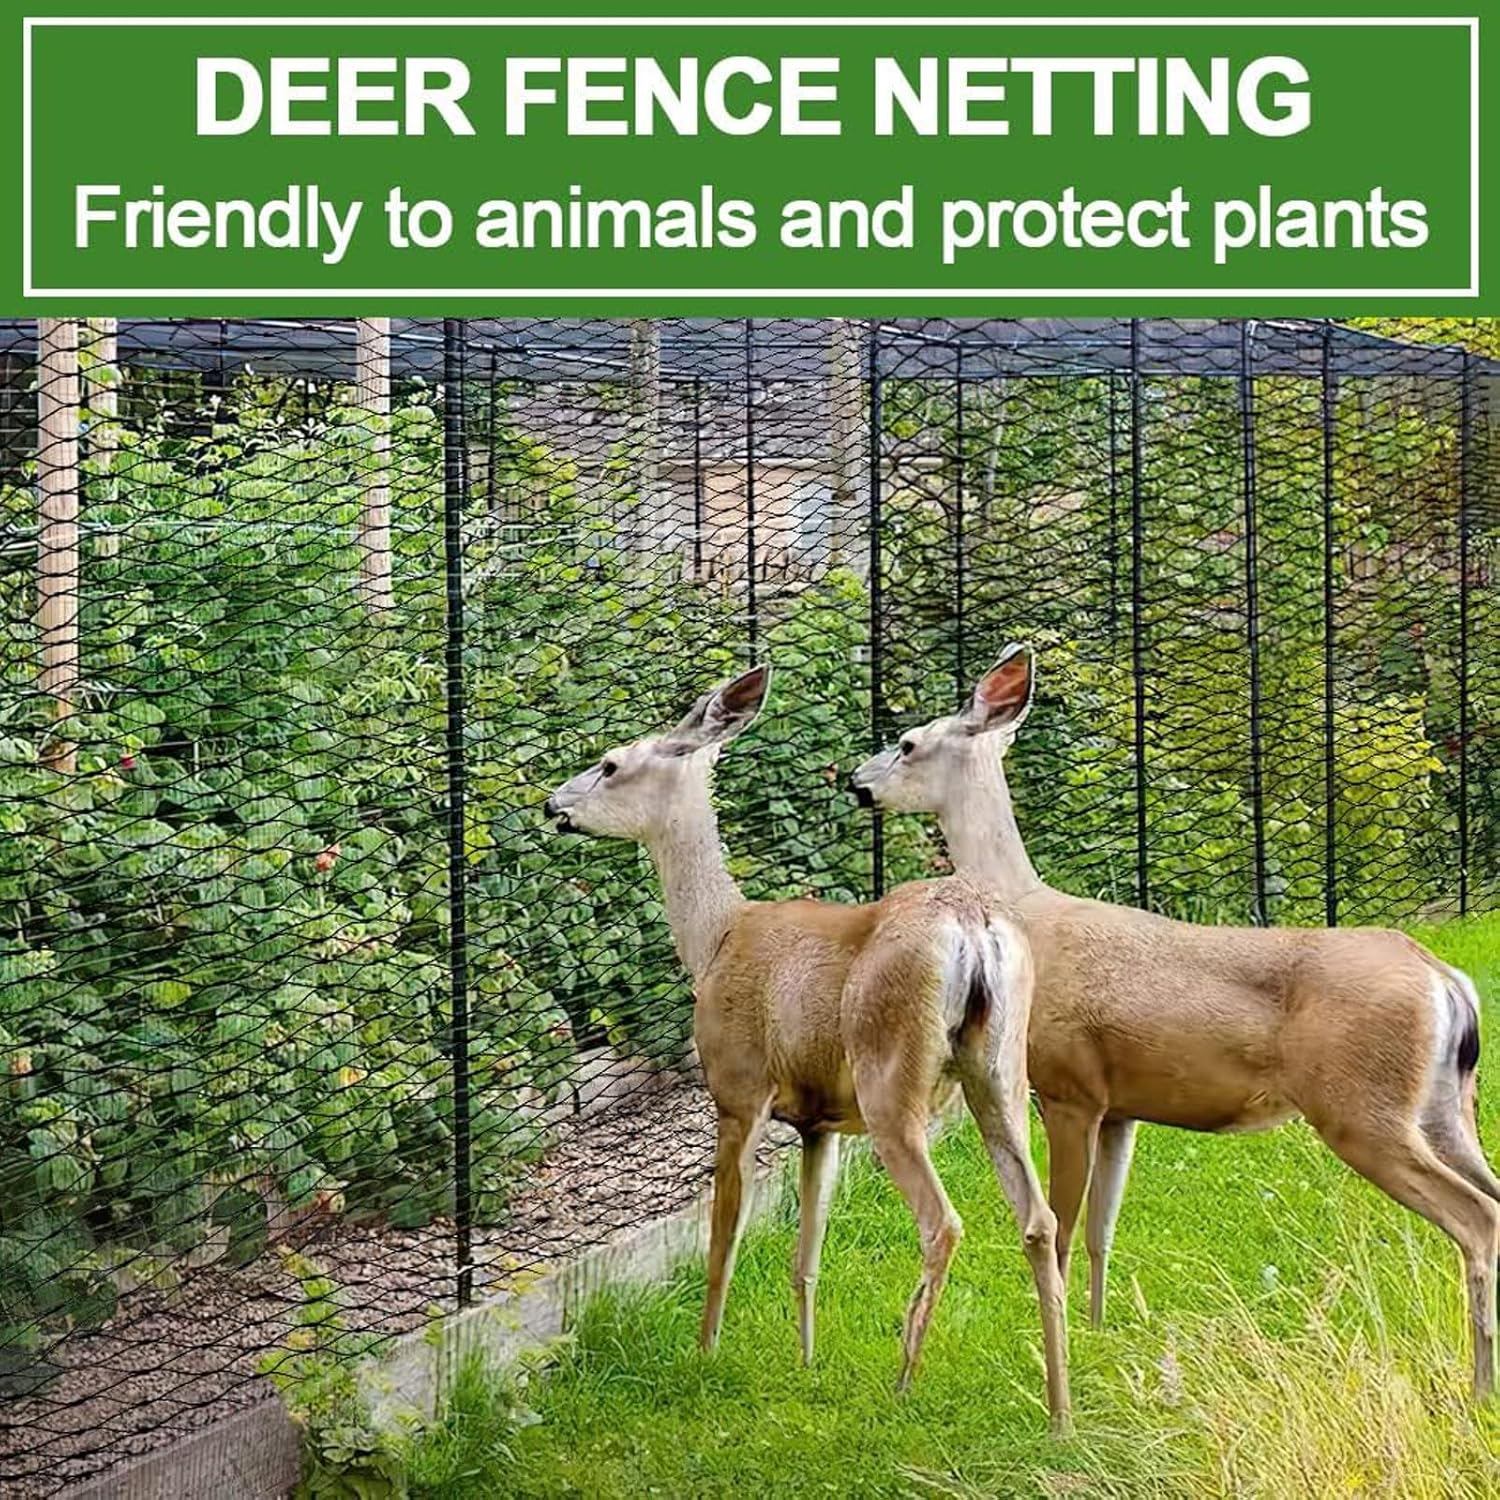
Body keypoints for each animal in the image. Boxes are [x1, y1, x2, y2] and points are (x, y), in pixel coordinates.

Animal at [542, 664, 1072, 1429]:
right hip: (1000, 1070)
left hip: (891, 1080)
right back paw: (1059, 1411)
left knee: (943, 1222)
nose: (554, 804)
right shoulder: (819, 1122)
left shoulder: (737, 1089)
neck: (716, 938)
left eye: (611, 764)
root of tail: (973, 925)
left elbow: (723, 1239)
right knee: (1038, 1218)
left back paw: (904, 1380)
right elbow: (806, 1253)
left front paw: (705, 1353)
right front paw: (806, 1360)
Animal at [851, 642, 1498, 1400]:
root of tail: (1445, 980)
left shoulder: (1067, 1087)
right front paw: (1098, 1331)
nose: (858, 783)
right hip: (1445, 1108)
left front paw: (1058, 1343)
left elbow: (1063, 1227)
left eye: (907, 743)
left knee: (1477, 1216)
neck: (1029, 911)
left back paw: (1479, 1387)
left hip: (1362, 1107)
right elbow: (1102, 1228)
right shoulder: (1121, 1106)